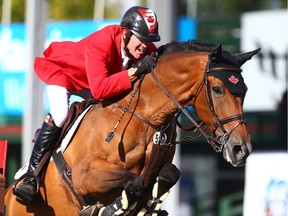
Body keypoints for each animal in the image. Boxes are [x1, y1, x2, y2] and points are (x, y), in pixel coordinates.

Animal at [5, 41, 260, 216]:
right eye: (217, 89)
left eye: (246, 90)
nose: (241, 149)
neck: (147, 115)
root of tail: (8, 196)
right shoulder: (85, 175)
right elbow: (134, 181)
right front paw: (110, 209)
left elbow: (168, 174)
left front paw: (146, 207)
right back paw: (27, 186)